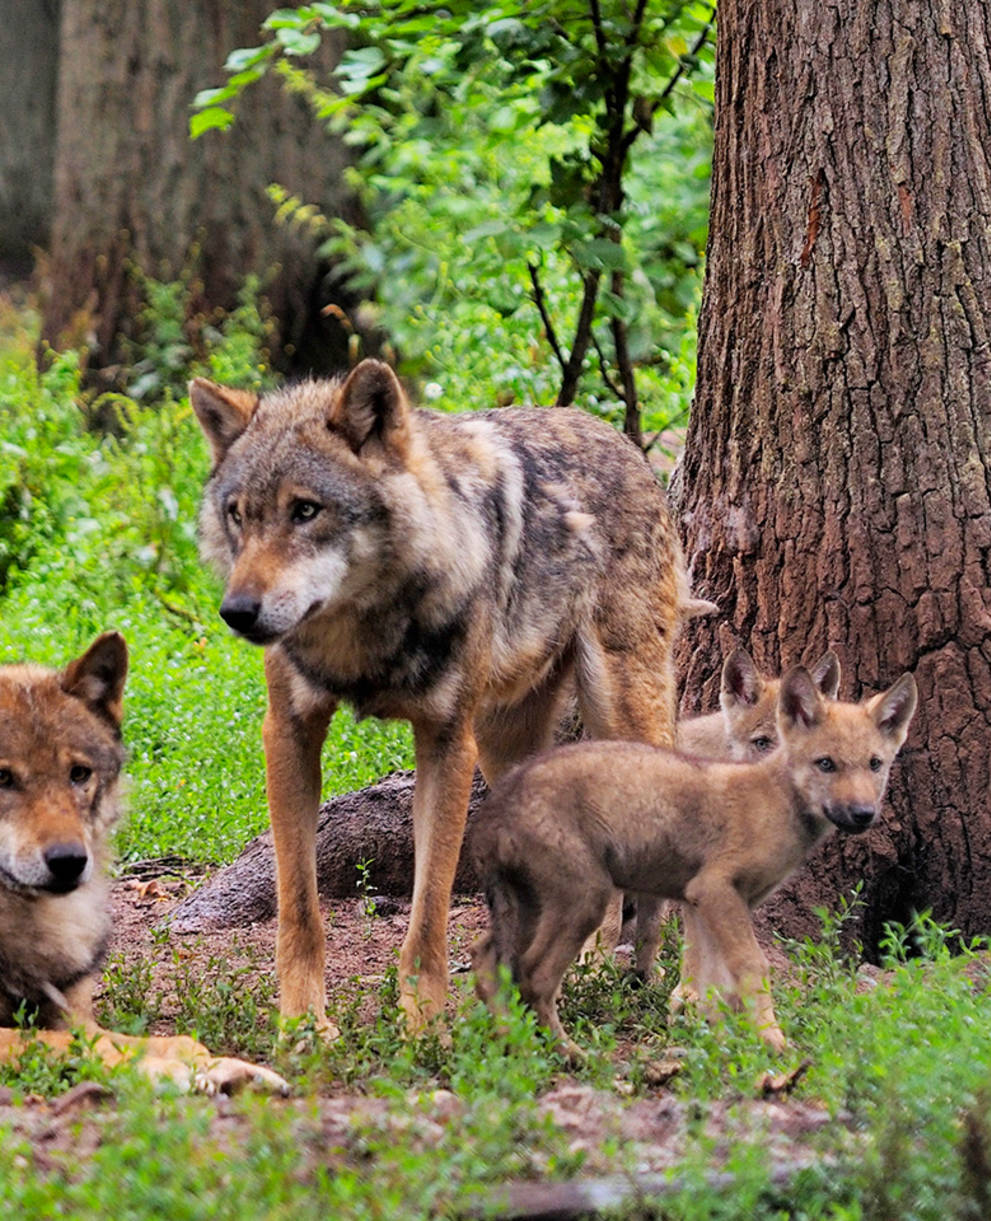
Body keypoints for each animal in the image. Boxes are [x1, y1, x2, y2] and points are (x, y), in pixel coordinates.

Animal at [0, 634, 286, 1094]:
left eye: (79, 774)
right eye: (3, 778)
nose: (69, 861)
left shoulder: (75, 1014)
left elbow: (172, 1040)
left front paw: (224, 1066)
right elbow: (63, 1044)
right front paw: (166, 1074)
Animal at [189, 356, 693, 1035]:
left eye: (306, 510)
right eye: (239, 514)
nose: (237, 612)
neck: (361, 634)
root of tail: (618, 437)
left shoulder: (448, 740)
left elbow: (428, 912)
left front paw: (423, 1028)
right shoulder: (288, 732)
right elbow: (299, 909)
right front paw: (303, 1025)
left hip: (620, 708)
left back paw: (682, 984)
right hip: (509, 748)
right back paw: (576, 969)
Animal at [468, 664, 917, 1054]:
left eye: (875, 764)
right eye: (826, 764)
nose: (863, 814)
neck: (776, 800)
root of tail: (498, 803)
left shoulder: (704, 902)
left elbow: (710, 982)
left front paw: (713, 1040)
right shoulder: (715, 890)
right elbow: (752, 967)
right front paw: (772, 1041)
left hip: (528, 905)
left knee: (488, 959)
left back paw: (514, 1044)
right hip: (585, 900)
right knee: (534, 977)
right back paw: (568, 1053)